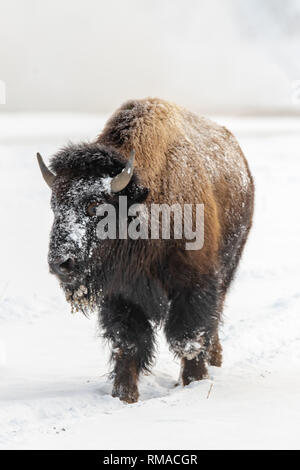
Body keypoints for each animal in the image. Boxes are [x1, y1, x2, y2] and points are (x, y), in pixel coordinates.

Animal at [36, 97, 254, 402]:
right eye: (54, 206)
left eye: (95, 206)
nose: (60, 263)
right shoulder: (121, 294)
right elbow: (128, 343)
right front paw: (124, 395)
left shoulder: (194, 285)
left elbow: (188, 337)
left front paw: (194, 382)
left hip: (227, 267)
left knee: (214, 318)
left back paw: (214, 361)